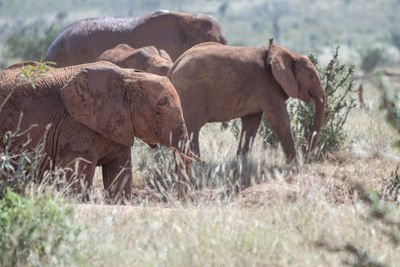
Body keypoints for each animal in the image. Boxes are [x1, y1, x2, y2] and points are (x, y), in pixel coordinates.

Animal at [0, 60, 197, 202]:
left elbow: (119, 177)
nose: (181, 202)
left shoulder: (117, 125)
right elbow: (74, 179)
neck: (128, 76)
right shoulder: (75, 124)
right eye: (158, 113)